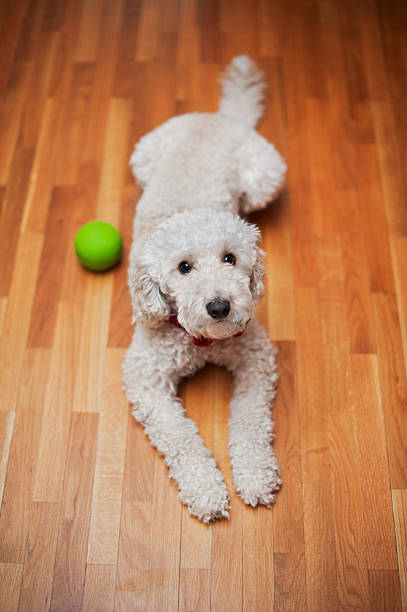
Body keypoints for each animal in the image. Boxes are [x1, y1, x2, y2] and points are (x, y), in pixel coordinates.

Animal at [123, 56, 286, 520]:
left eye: (230, 258)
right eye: (183, 267)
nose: (219, 307)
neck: (200, 343)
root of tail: (216, 117)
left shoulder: (256, 357)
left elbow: (250, 422)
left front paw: (255, 475)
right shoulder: (144, 378)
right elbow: (180, 437)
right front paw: (206, 490)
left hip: (265, 175)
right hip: (142, 157)